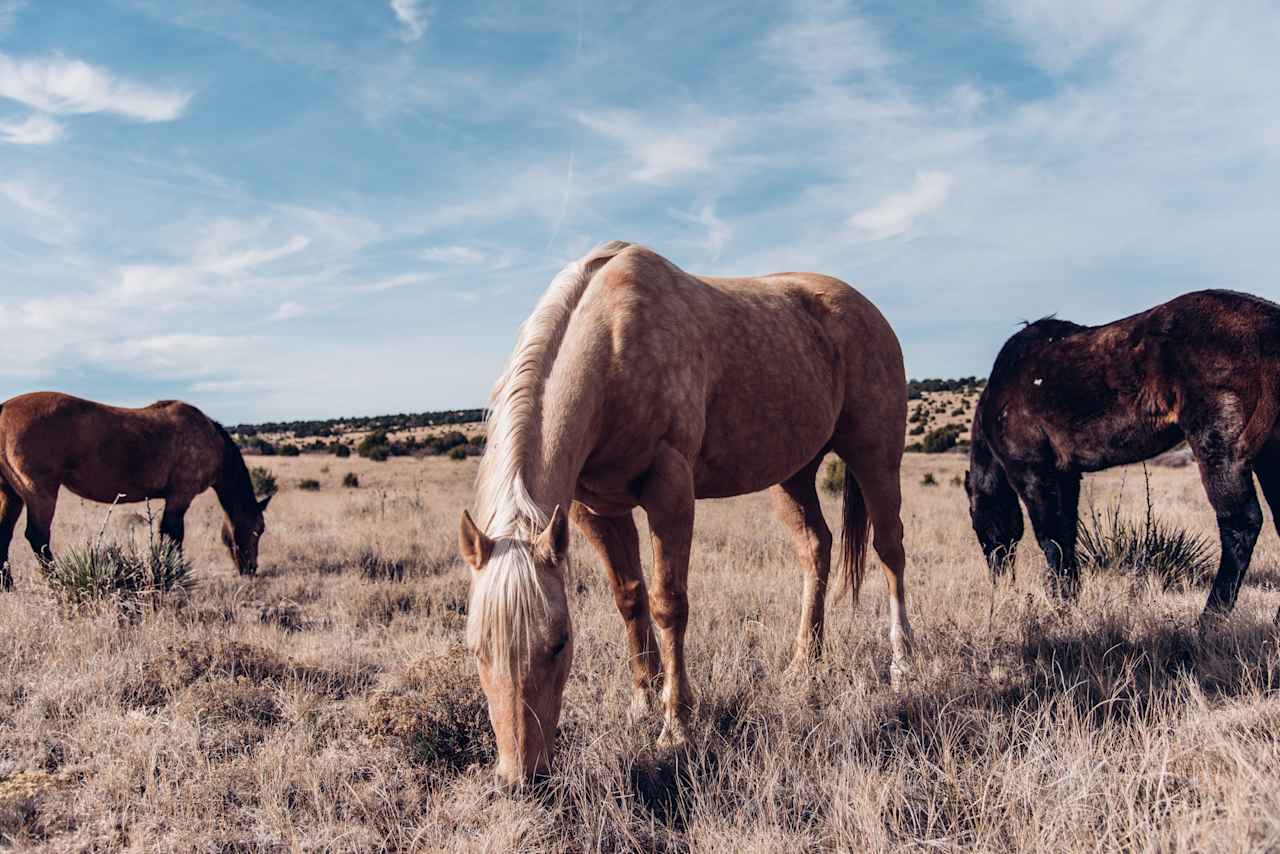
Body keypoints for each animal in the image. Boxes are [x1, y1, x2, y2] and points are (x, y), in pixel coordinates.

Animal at [0, 391, 270, 588]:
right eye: (259, 529)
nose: (251, 569)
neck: (211, 440)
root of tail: (3, 409)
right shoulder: (180, 496)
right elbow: (173, 536)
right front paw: (173, 575)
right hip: (40, 492)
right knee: (38, 537)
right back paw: (56, 581)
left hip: (11, 494)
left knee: (6, 533)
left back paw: (7, 585)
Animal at [458, 240, 911, 788]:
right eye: (476, 648)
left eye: (560, 642)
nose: (522, 777)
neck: (613, 346)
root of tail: (867, 308)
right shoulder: (594, 510)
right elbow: (629, 599)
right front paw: (642, 700)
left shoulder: (670, 490)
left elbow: (667, 604)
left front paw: (675, 725)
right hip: (794, 473)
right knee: (816, 549)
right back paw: (805, 665)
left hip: (875, 456)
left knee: (889, 550)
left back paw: (903, 665)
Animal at [962, 289, 1280, 622]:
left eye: (976, 523)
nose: (999, 581)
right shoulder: (1066, 476)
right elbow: (1066, 535)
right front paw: (1069, 598)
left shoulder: (1033, 473)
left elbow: (1051, 538)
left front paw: (1059, 605)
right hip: (1270, 453)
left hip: (1220, 448)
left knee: (1240, 524)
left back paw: (1209, 619)